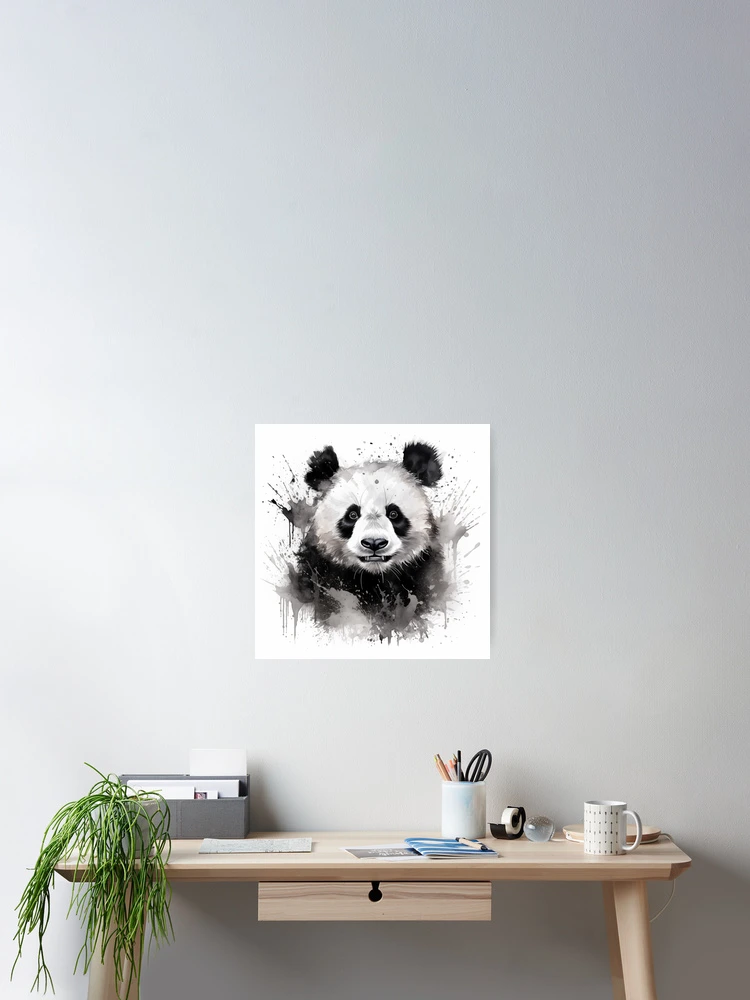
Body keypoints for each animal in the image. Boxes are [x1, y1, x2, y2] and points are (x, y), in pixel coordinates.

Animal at [291, 442, 446, 634]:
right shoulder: (320, 575)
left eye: (394, 513)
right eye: (352, 515)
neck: (373, 578)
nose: (374, 543)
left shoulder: (421, 574)